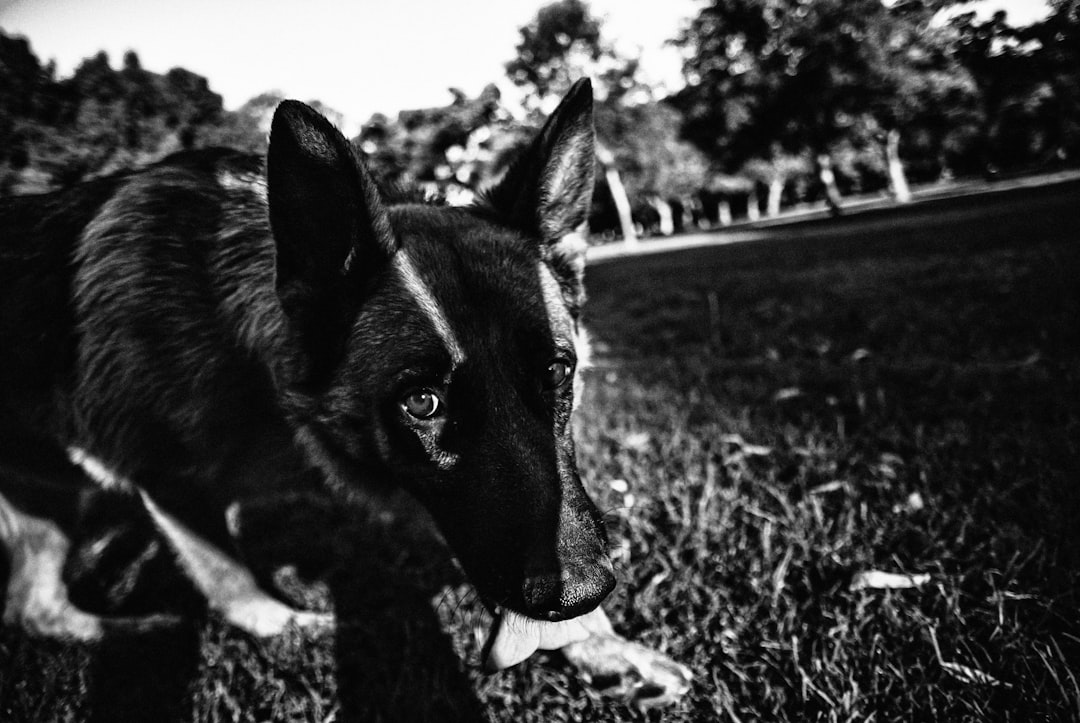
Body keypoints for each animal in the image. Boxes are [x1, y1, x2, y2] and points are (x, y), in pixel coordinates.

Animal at [0, 78, 691, 704]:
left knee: (32, 608)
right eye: (422, 402)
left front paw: (604, 645)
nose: (579, 594)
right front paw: (291, 630)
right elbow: (231, 581)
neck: (264, 379)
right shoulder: (168, 482)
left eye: (555, 373)